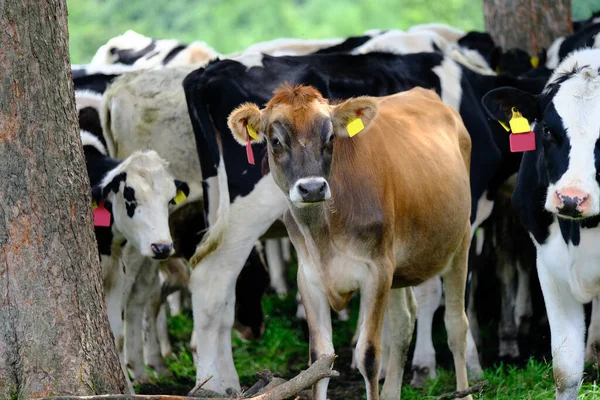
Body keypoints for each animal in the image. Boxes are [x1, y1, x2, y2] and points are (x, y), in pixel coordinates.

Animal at [227, 85, 472, 400]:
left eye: (330, 137)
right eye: (275, 141)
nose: (312, 188)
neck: (324, 237)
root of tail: (425, 92)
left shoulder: (376, 272)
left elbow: (368, 355)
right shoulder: (309, 277)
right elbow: (319, 360)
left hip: (461, 239)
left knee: (456, 325)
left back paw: (466, 389)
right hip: (398, 268)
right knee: (404, 323)